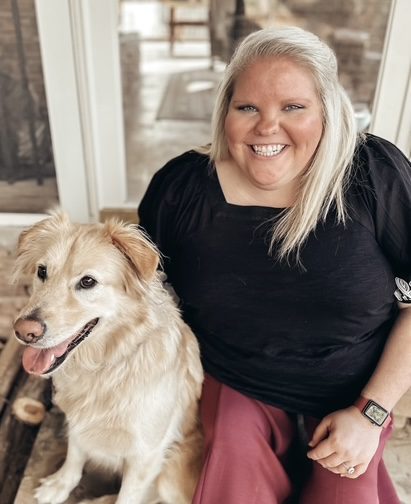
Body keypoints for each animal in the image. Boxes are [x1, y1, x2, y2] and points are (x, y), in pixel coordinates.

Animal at [12, 211, 203, 504]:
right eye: (42, 271)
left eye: (88, 282)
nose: (24, 331)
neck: (104, 366)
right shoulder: (78, 421)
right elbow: (75, 455)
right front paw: (60, 484)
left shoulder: (145, 456)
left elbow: (127, 496)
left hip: (171, 475)